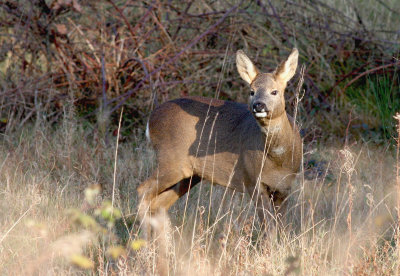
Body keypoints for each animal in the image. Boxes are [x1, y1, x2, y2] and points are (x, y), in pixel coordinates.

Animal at [138, 47, 304, 224]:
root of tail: (151, 119)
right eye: (252, 91)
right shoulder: (253, 181)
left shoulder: (284, 188)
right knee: (143, 191)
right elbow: (268, 226)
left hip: (189, 174)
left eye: (274, 91)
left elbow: (281, 226)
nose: (258, 105)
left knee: (158, 203)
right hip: (171, 161)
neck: (278, 160)